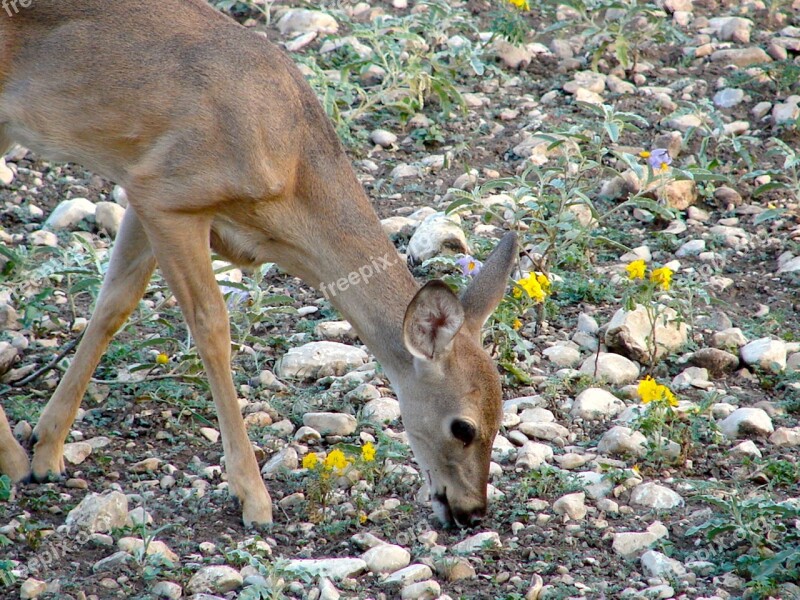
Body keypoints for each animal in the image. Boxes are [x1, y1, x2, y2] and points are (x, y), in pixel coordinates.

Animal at [0, 0, 516, 528]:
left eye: (501, 416)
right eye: (463, 427)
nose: (473, 510)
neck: (288, 174)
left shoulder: (142, 189)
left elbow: (113, 304)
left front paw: (48, 448)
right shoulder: (169, 193)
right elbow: (211, 328)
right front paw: (253, 497)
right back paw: (12, 463)